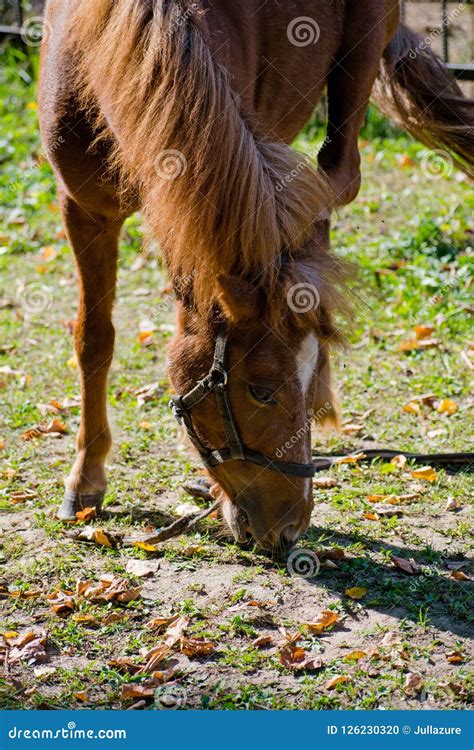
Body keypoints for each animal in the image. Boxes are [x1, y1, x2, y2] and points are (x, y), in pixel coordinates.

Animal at [39, 0, 474, 552]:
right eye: (261, 391)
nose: (291, 527)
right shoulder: (83, 209)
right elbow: (93, 339)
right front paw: (87, 479)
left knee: (335, 178)